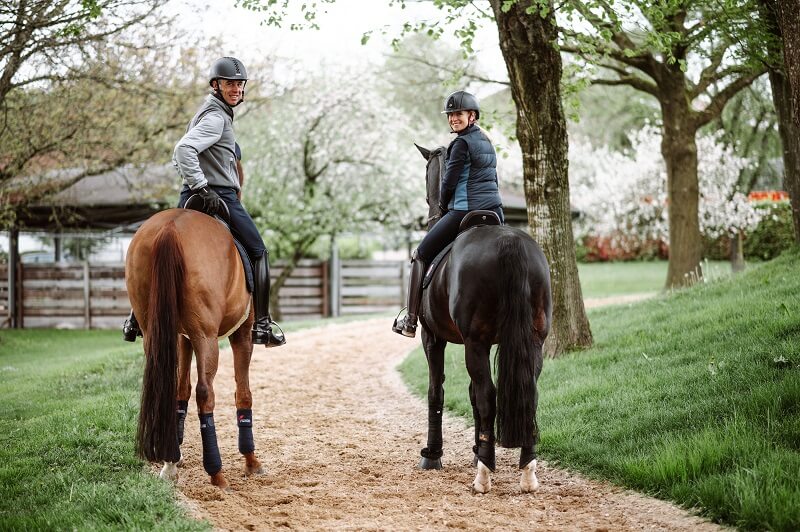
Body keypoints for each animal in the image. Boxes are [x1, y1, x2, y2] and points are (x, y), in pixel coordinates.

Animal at [125, 206, 262, 488]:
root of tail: (170, 228)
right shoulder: (241, 334)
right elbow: (243, 392)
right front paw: (251, 460)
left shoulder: (181, 337)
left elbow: (181, 390)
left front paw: (173, 459)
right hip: (206, 337)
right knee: (205, 393)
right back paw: (216, 472)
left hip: (155, 332)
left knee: (168, 388)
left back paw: (169, 462)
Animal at [412, 143, 552, 492]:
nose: (431, 209)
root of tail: (510, 241)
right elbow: (473, 395)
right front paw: (477, 449)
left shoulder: (433, 338)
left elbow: (438, 391)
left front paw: (433, 455)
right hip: (533, 340)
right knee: (528, 392)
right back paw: (527, 470)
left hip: (474, 343)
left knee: (488, 395)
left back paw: (484, 475)